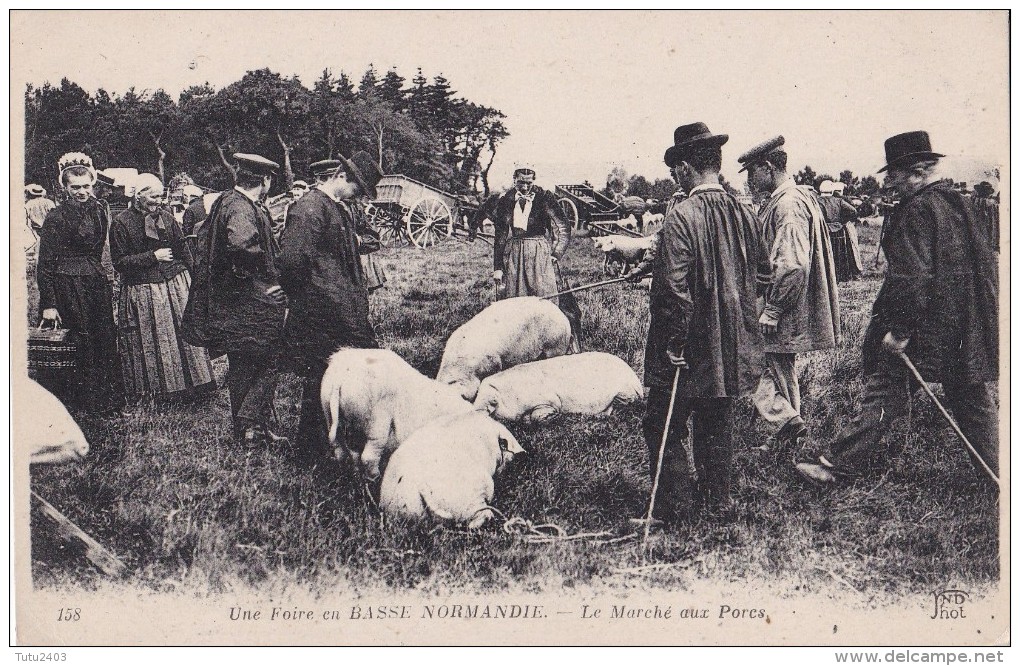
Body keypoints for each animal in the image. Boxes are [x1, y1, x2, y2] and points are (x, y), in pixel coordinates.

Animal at [471, 350, 644, 424]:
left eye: (490, 400)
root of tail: (638, 382)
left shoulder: (548, 400)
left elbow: (537, 415)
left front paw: (552, 416)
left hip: (624, 392)